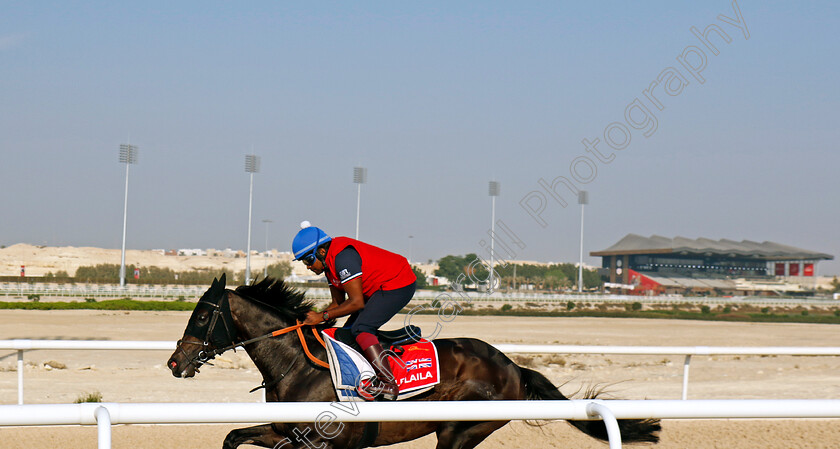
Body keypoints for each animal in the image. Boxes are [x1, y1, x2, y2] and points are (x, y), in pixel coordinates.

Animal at [167, 274, 660, 446]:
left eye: (203, 315)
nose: (175, 363)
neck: (300, 366)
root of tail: (513, 367)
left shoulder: (323, 442)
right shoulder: (283, 432)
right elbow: (232, 436)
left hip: (462, 431)